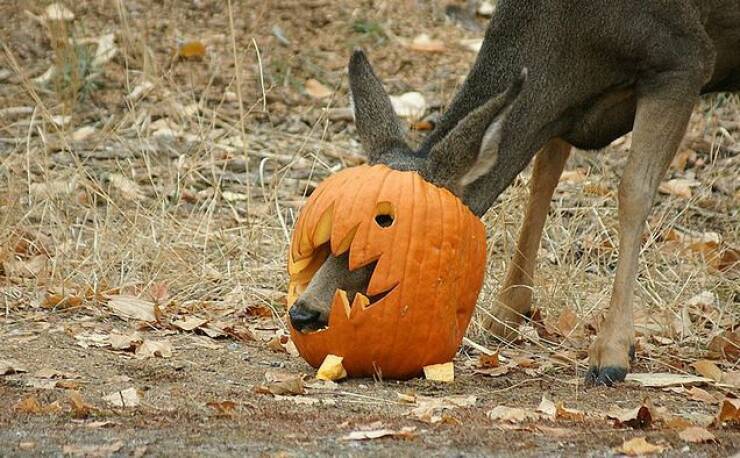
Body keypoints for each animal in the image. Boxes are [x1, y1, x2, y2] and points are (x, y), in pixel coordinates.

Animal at [290, 0, 740, 386]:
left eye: (386, 221)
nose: (303, 312)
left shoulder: (683, 60)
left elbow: (633, 191)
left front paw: (612, 353)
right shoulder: (562, 112)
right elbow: (542, 177)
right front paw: (506, 312)